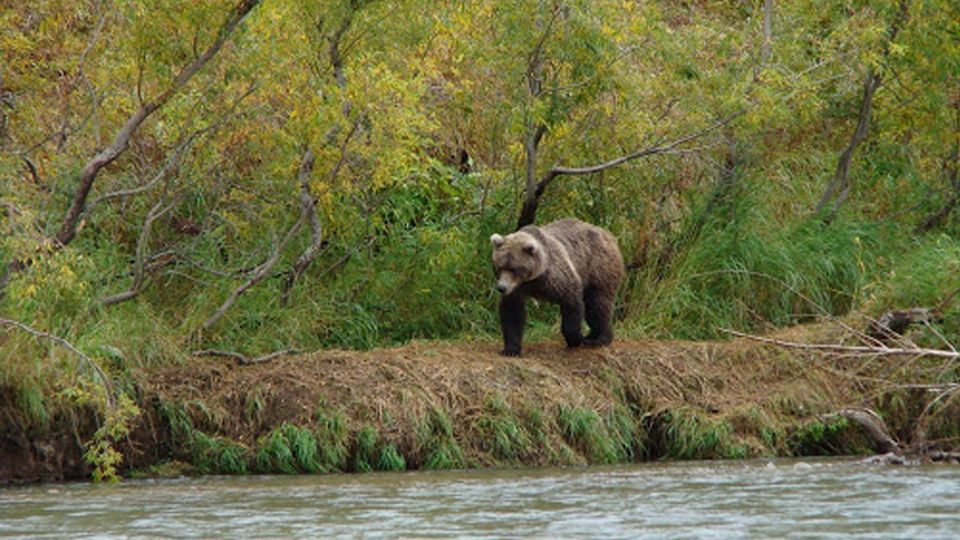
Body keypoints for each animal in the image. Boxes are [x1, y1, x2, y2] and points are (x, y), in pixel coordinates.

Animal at [492, 217, 628, 356]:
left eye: (514, 268)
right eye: (499, 267)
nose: (501, 288)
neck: (534, 278)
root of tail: (609, 235)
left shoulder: (557, 276)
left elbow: (571, 300)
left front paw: (575, 339)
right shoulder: (517, 288)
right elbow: (511, 313)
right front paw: (511, 349)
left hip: (599, 269)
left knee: (598, 305)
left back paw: (600, 338)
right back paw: (591, 336)